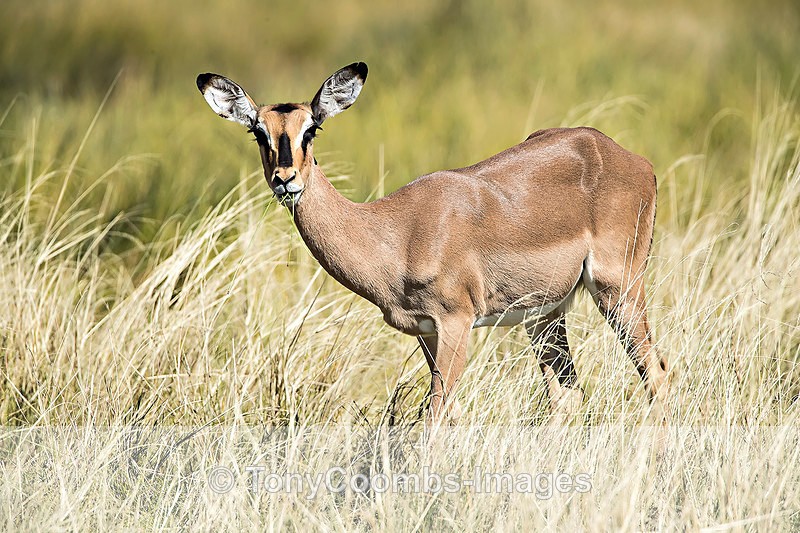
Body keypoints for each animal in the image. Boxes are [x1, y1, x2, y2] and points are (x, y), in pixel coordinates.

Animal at [196, 62, 669, 424]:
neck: (395, 233)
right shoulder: (426, 332)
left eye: (312, 129)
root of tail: (632, 159)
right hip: (546, 316)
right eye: (258, 132)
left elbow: (435, 415)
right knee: (568, 395)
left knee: (658, 374)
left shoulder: (456, 322)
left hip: (617, 290)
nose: (285, 179)